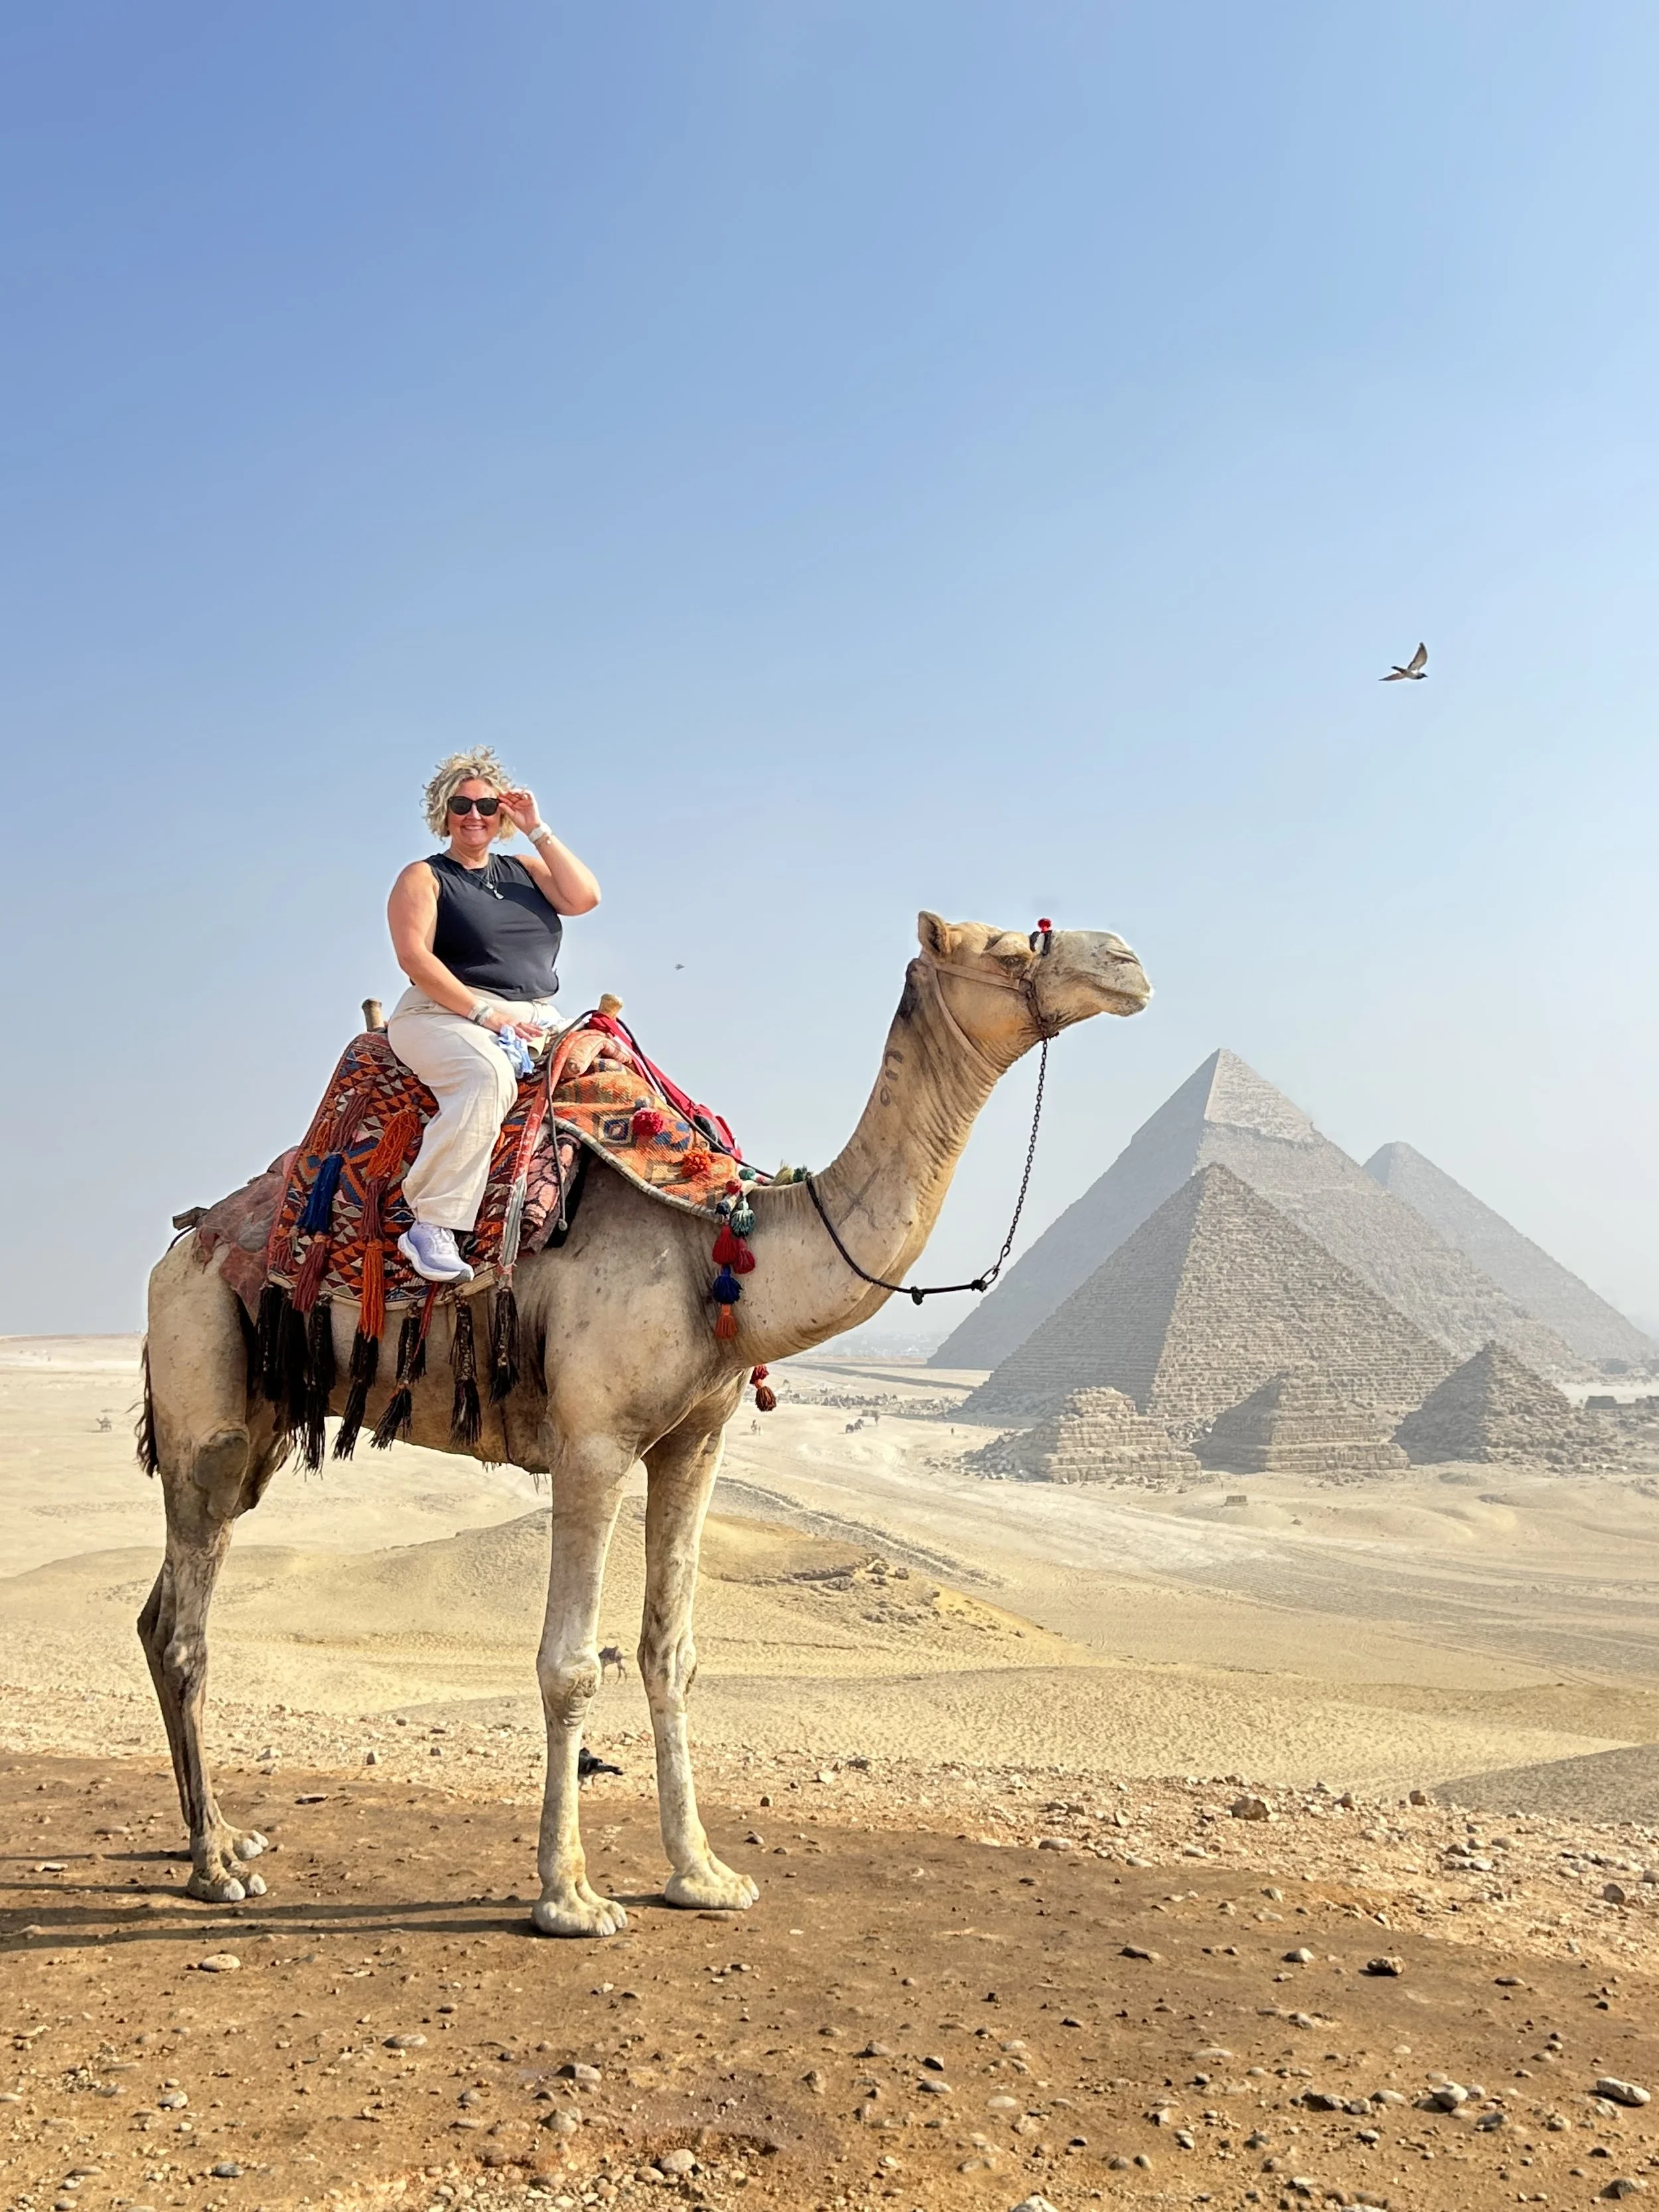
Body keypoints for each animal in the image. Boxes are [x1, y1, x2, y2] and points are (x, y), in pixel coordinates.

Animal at [139, 913, 1150, 1935]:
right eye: (1009, 946)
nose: (1128, 961)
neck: (720, 1244)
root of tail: (187, 1241)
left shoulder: (694, 1440)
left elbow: (673, 1653)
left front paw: (702, 1873)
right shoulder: (593, 1442)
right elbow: (571, 1664)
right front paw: (570, 1895)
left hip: (261, 1427)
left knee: (159, 1612)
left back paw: (220, 1837)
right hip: (203, 1387)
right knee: (186, 1629)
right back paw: (216, 1865)